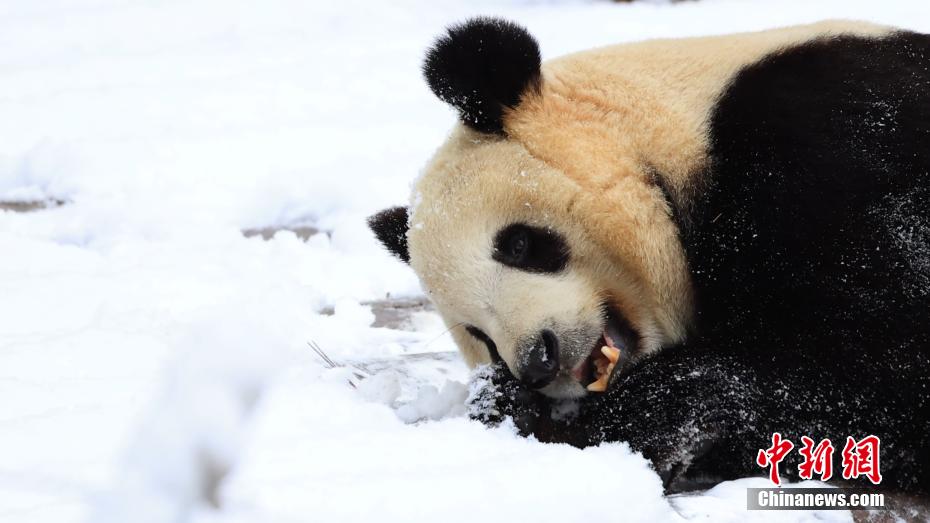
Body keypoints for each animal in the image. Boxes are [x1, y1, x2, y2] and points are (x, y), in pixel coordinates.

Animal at [366, 18, 924, 494]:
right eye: (478, 336)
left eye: (519, 244)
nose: (539, 360)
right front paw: (506, 403)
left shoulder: (831, 149)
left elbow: (877, 367)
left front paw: (650, 412)